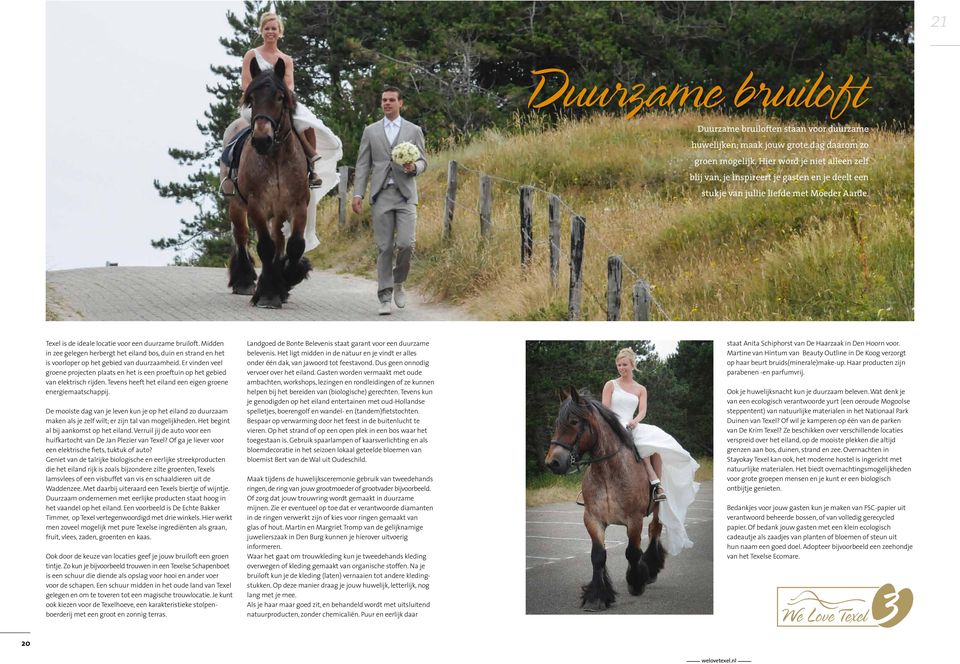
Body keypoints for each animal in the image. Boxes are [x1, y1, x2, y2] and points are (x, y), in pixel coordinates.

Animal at [226, 55, 310, 308]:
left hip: (279, 212)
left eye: (280, 97)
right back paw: (244, 281)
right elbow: (265, 246)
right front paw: (269, 293)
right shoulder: (257, 205)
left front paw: (289, 277)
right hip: (237, 204)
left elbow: (295, 245)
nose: (262, 139)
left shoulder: (298, 205)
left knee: (279, 240)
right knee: (241, 235)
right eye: (251, 98)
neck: (275, 158)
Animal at [544, 390, 664, 612]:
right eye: (557, 423)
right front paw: (596, 597)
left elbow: (632, 552)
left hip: (659, 508)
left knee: (655, 530)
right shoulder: (593, 519)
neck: (609, 472)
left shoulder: (634, 520)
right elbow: (598, 556)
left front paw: (636, 582)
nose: (553, 463)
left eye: (574, 422)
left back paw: (651, 570)